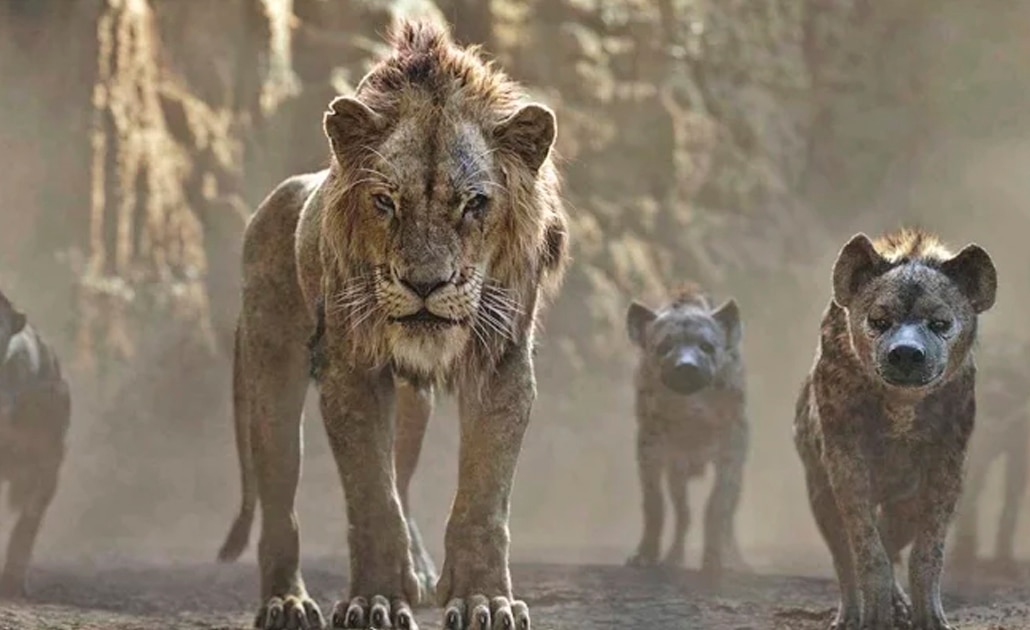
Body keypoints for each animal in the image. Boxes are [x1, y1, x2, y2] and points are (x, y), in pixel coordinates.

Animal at [216, 19, 569, 630]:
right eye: (385, 202)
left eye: (474, 204)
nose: (425, 284)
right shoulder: (352, 372)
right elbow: (372, 500)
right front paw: (373, 601)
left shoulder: (502, 364)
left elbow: (481, 500)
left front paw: (482, 600)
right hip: (271, 377)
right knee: (281, 501)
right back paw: (286, 602)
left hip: (411, 407)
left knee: (401, 477)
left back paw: (420, 572)